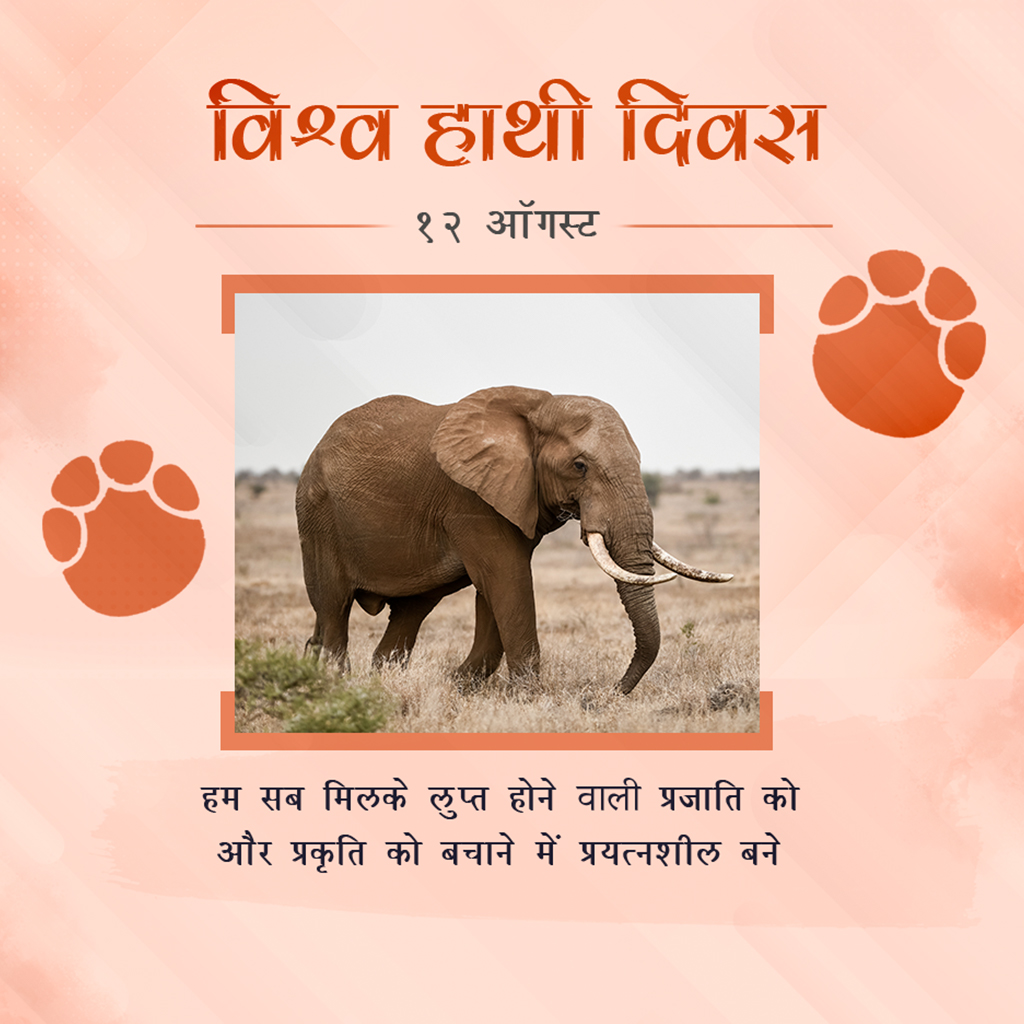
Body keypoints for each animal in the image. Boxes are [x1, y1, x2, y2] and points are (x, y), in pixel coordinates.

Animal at [295, 385, 732, 694]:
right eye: (580, 466)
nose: (610, 691)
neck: (540, 406)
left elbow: (494, 593)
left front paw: (460, 687)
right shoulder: (471, 499)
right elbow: (509, 581)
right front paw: (529, 697)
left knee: (409, 612)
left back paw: (375, 679)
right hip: (317, 517)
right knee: (334, 606)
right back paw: (333, 684)